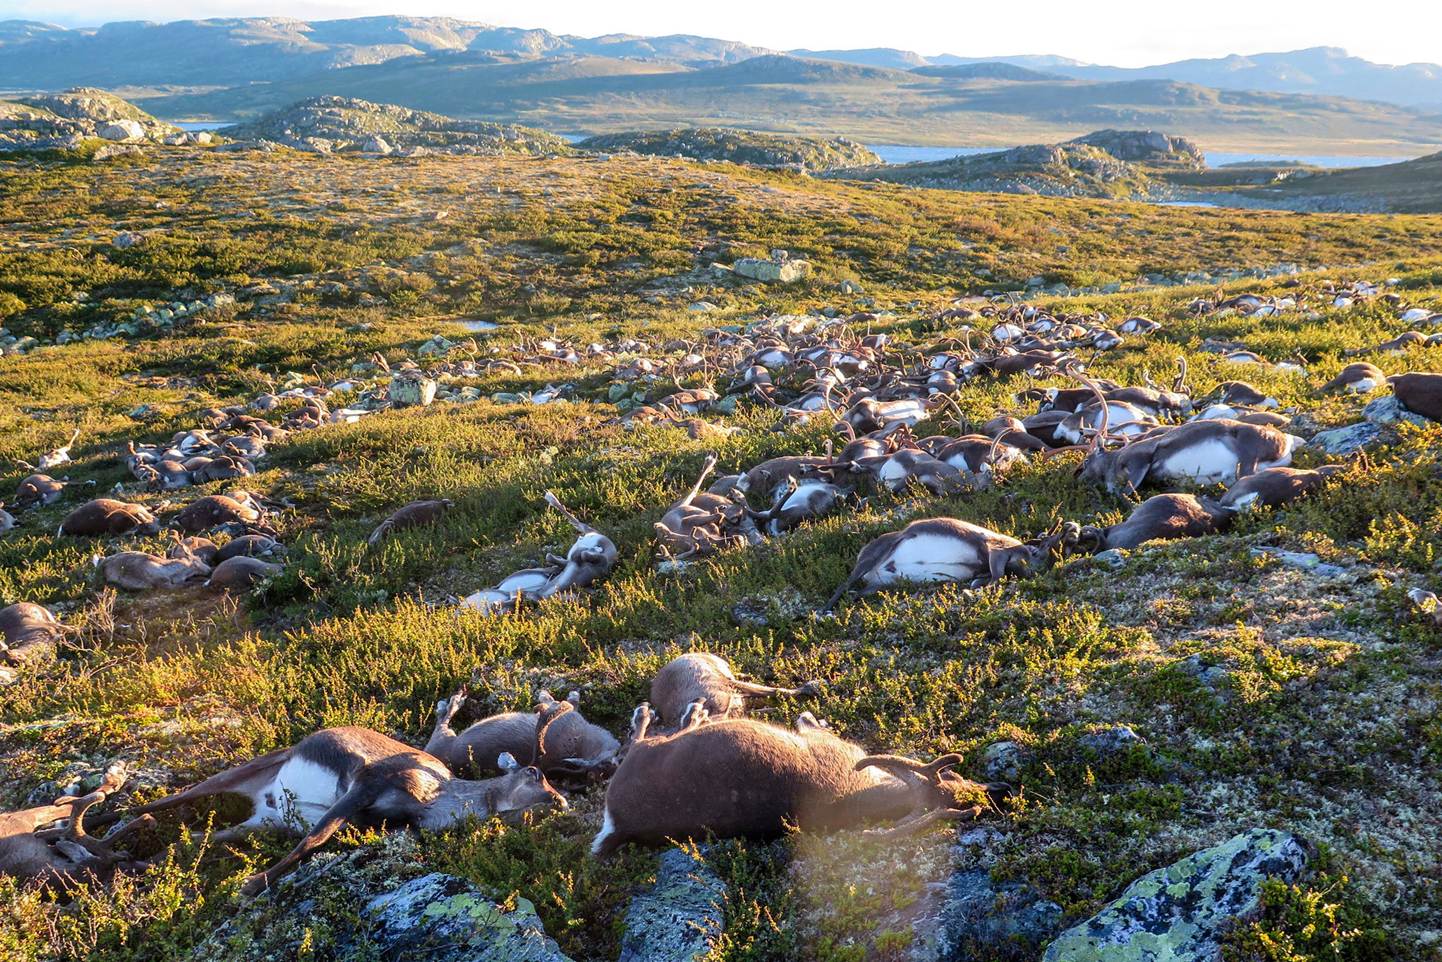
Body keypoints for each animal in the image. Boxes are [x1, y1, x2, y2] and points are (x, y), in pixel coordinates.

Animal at [106, 724, 568, 896]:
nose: (561, 803)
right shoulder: (364, 784)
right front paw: (252, 883)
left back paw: (129, 861)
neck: (436, 798)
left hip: (263, 823)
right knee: (163, 802)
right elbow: (315, 838)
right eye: (534, 773)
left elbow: (318, 837)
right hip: (244, 772)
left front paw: (252, 881)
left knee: (190, 840)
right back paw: (105, 830)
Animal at [591, 712, 1009, 856]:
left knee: (638, 740)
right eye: (953, 774)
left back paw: (675, 713)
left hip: (646, 754)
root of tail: (619, 825)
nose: (998, 791)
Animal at [825, 518, 1079, 612]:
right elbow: (996, 577)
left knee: (857, 592)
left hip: (880, 585)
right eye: (1037, 549)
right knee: (844, 585)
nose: (1070, 529)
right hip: (871, 559)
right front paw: (970, 592)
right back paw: (823, 610)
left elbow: (986, 579)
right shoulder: (996, 551)